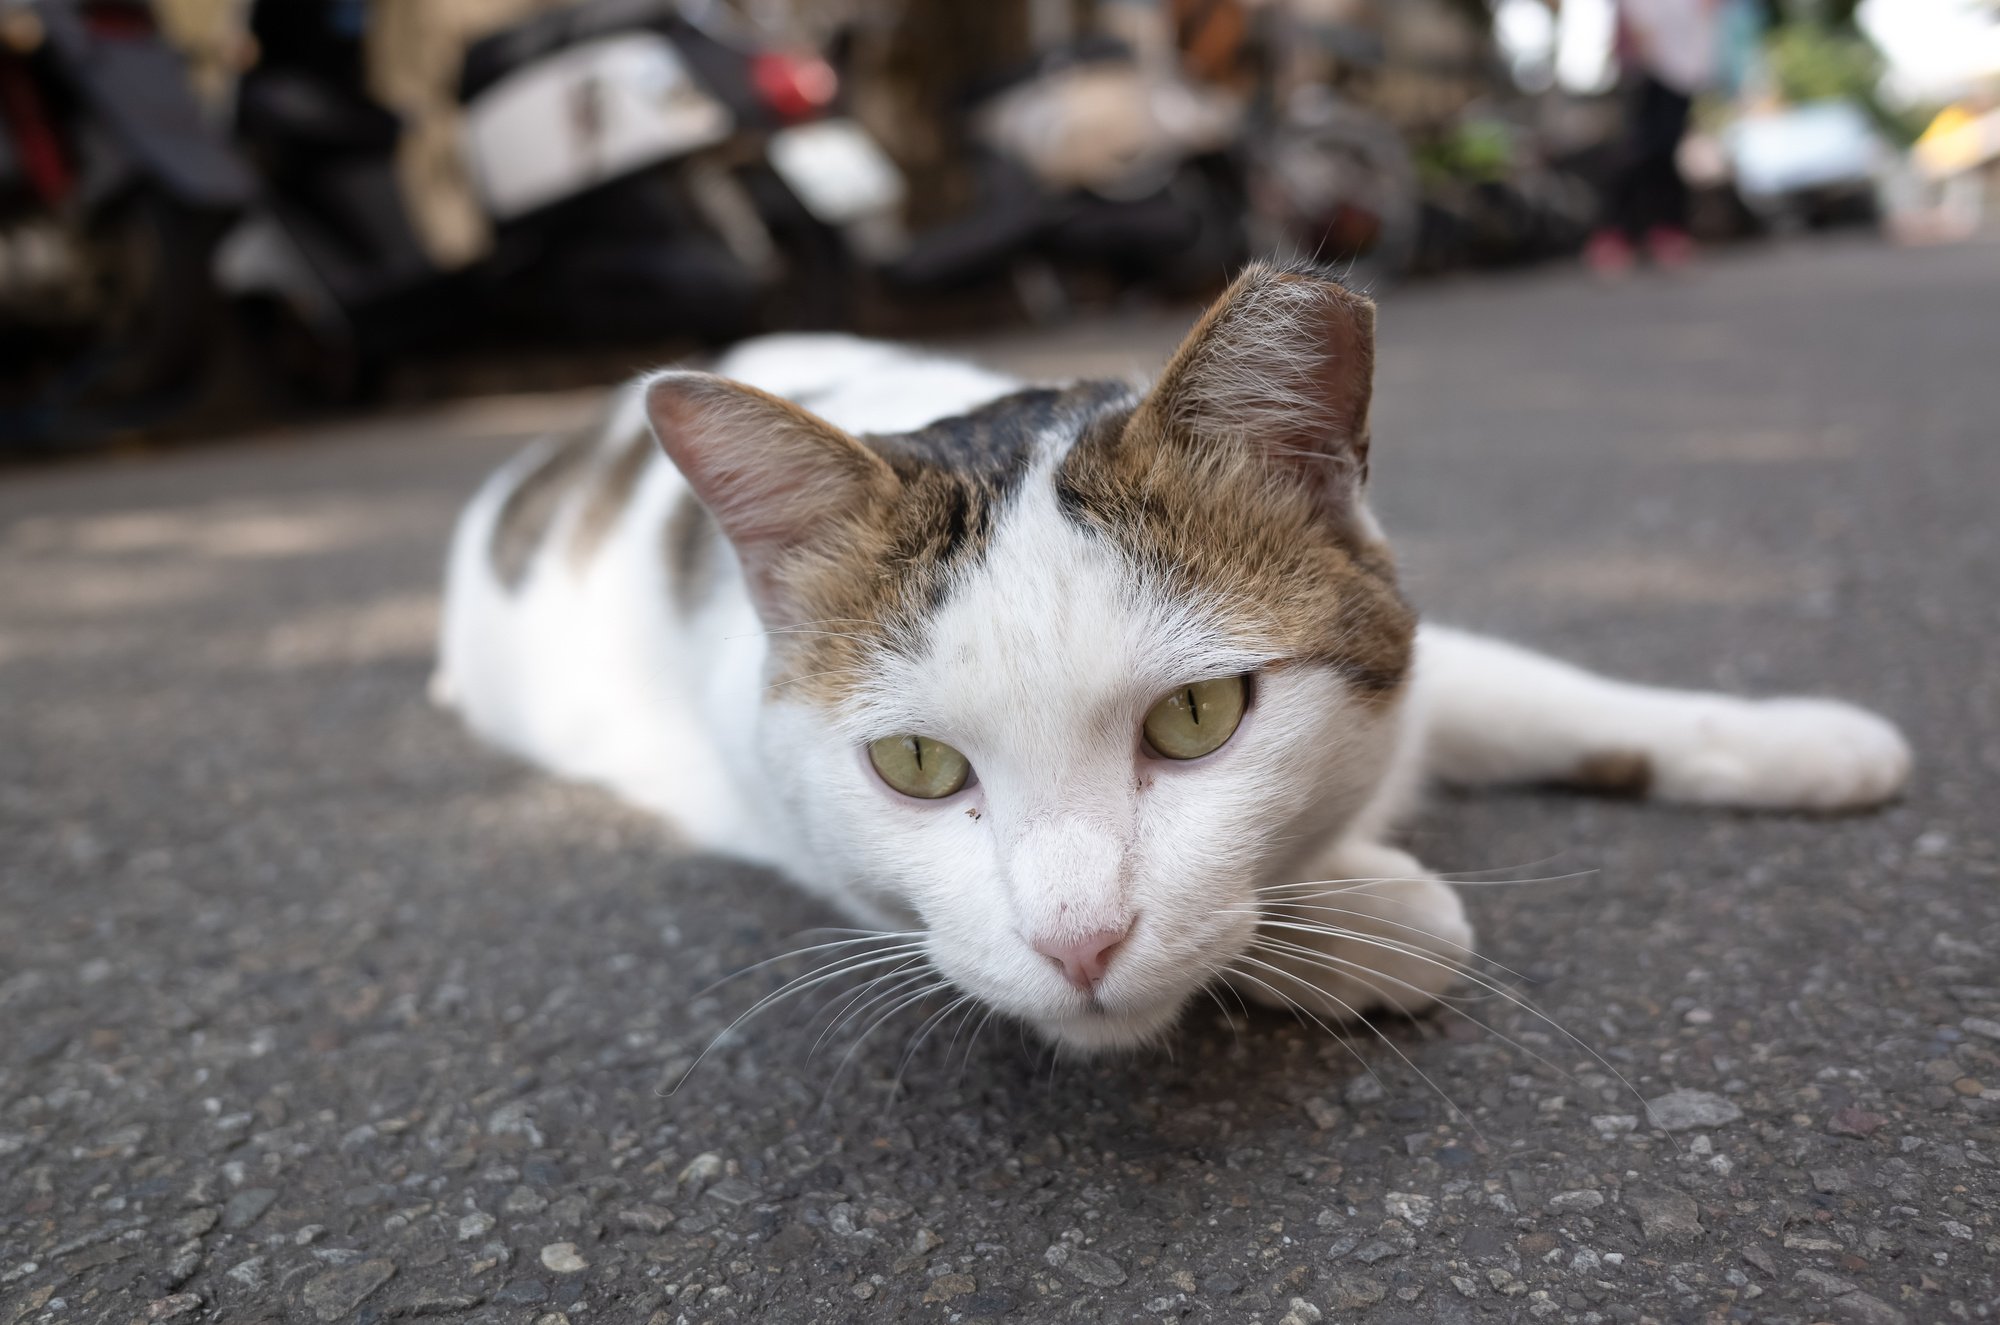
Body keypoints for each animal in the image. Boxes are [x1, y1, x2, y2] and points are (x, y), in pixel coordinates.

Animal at [434, 264, 1904, 1056]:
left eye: (1198, 715)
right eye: (915, 763)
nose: (1075, 942)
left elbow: (1551, 692)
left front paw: (1801, 740)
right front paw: (1379, 920)